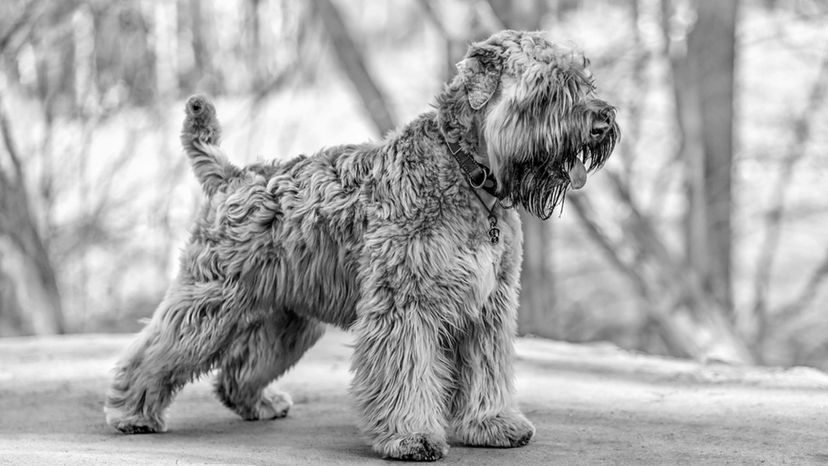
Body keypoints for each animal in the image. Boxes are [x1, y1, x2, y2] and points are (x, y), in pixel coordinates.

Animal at [103, 30, 616, 462]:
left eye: (583, 78)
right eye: (546, 89)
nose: (603, 119)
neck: (467, 175)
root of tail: (232, 177)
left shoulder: (488, 308)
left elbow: (485, 370)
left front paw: (492, 423)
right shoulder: (405, 305)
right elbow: (406, 374)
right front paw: (411, 437)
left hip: (287, 319)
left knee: (240, 368)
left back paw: (259, 402)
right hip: (209, 303)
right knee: (155, 351)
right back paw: (131, 412)